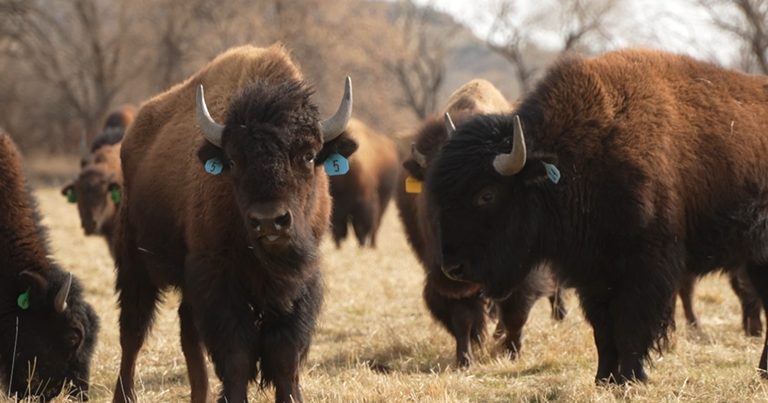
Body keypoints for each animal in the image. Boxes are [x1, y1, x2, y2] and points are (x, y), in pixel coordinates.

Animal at [112, 44, 356, 403]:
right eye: (234, 160)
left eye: (309, 155)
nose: (269, 221)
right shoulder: (219, 278)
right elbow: (237, 355)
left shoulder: (299, 282)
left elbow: (284, 356)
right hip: (135, 262)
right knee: (133, 332)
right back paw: (125, 394)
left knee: (187, 332)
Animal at [329, 118, 399, 248]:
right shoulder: (338, 208)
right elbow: (339, 231)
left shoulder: (364, 205)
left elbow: (361, 230)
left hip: (384, 200)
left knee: (375, 226)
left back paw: (373, 246)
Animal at [396, 79, 565, 367]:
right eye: (429, 190)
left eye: (485, 194)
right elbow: (463, 317)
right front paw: (464, 359)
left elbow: (516, 311)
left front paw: (512, 352)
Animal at [426, 49, 768, 383]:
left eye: (486, 194)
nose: (453, 268)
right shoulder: (593, 272)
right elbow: (603, 329)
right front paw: (604, 378)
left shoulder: (643, 267)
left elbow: (630, 324)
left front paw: (631, 377)